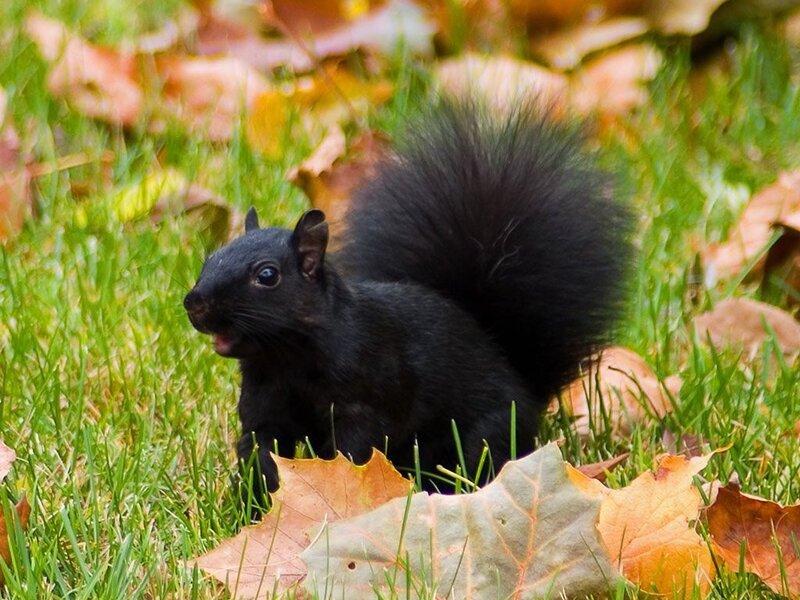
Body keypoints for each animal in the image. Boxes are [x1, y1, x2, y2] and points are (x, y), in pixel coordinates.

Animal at [184, 97, 633, 498]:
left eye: (267, 275)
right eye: (211, 257)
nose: (194, 304)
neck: (285, 359)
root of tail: (521, 385)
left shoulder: (365, 399)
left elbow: (352, 453)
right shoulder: (264, 410)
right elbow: (261, 454)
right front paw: (254, 508)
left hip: (482, 434)